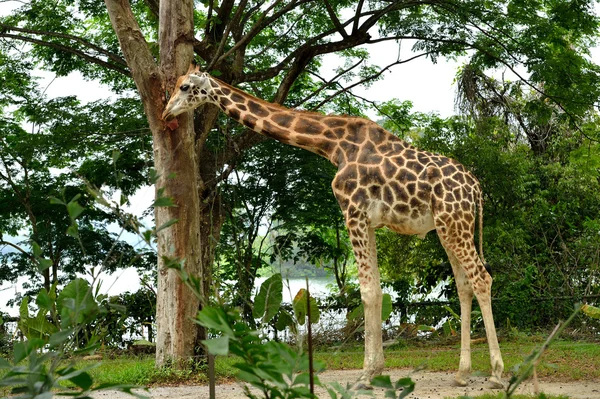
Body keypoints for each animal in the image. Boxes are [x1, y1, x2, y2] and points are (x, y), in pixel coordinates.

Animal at [162, 65, 504, 388]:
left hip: (454, 223)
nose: (166, 113)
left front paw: (367, 373)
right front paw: (376, 370)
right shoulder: (367, 221)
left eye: (185, 86)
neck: (333, 145)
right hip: (448, 227)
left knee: (482, 278)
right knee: (464, 284)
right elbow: (376, 290)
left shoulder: (353, 212)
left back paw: (497, 374)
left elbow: (368, 291)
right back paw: (462, 374)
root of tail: (476, 187)